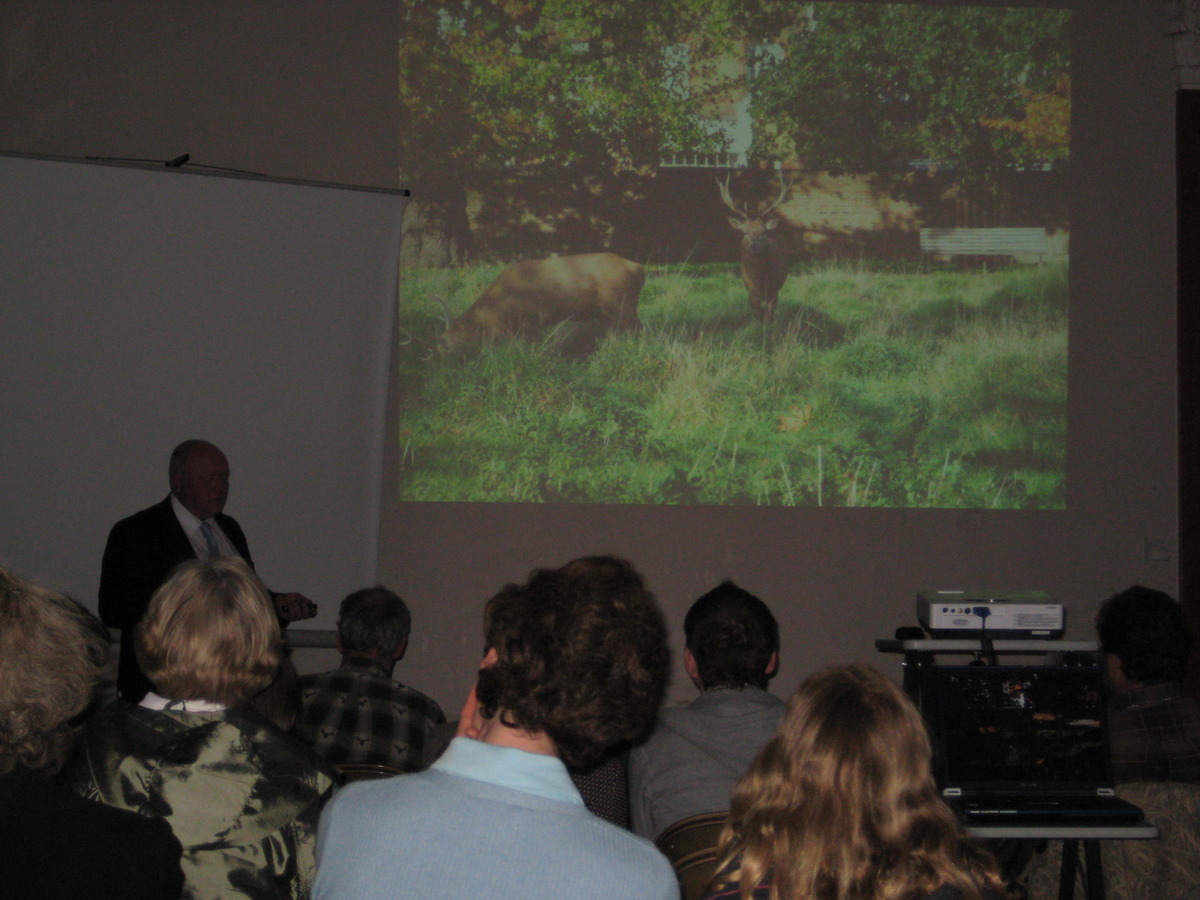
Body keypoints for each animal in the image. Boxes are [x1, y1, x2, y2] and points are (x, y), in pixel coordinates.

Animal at [715, 171, 792, 324]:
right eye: (744, 231)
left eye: (764, 231)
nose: (755, 246)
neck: (760, 281)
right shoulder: (750, 291)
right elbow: (757, 315)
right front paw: (757, 327)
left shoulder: (774, 291)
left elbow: (769, 317)